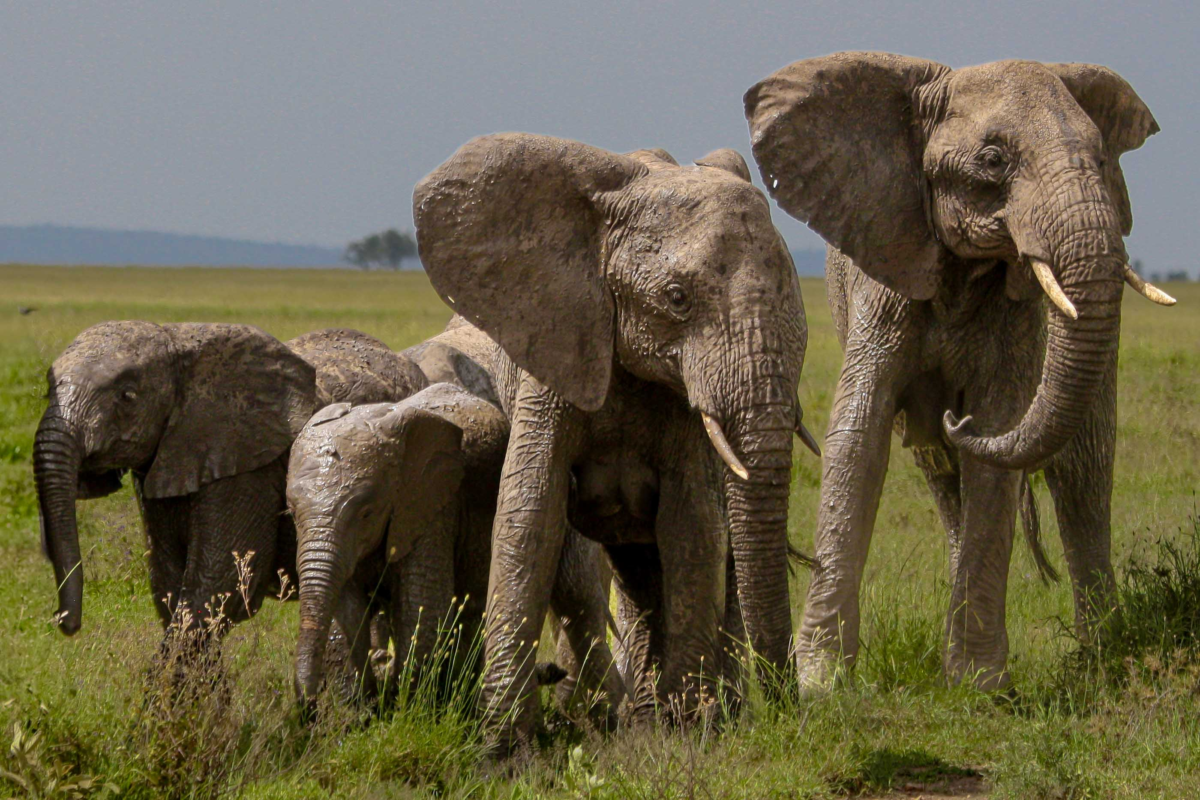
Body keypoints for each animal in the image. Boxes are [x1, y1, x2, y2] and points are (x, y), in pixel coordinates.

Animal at [286, 382, 625, 724]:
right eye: (291, 511)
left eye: (367, 512)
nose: (307, 708)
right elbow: (348, 608)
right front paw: (358, 713)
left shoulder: (433, 505)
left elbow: (423, 607)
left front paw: (404, 709)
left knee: (573, 595)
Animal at [413, 134, 813, 749]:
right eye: (676, 297)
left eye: (794, 292)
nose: (790, 712)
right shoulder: (555, 348)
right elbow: (530, 511)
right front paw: (504, 748)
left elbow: (695, 527)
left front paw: (686, 738)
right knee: (639, 575)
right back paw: (648, 716)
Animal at [744, 52, 1168, 690]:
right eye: (992, 161)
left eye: (1100, 158)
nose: (954, 415)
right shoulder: (887, 269)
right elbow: (859, 436)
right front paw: (822, 684)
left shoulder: (1016, 317)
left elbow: (996, 439)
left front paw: (978, 685)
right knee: (941, 471)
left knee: (1083, 469)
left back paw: (1103, 651)